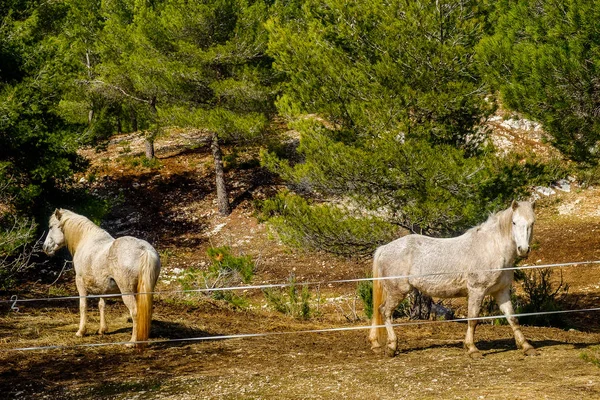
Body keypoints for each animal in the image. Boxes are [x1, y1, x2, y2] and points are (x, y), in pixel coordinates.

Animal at [42, 209, 162, 346]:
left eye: (51, 227)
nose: (45, 247)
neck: (86, 239)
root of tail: (144, 250)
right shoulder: (102, 286)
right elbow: (102, 305)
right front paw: (102, 330)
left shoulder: (80, 283)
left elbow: (83, 306)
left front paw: (81, 331)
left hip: (128, 292)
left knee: (135, 312)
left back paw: (132, 342)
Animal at [368, 202, 536, 358]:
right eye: (514, 222)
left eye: (532, 223)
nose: (523, 249)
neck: (491, 248)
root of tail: (384, 248)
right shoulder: (477, 291)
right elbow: (473, 319)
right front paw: (472, 349)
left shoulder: (501, 292)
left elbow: (512, 318)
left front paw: (526, 346)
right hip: (397, 291)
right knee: (385, 311)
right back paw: (391, 347)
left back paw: (376, 345)